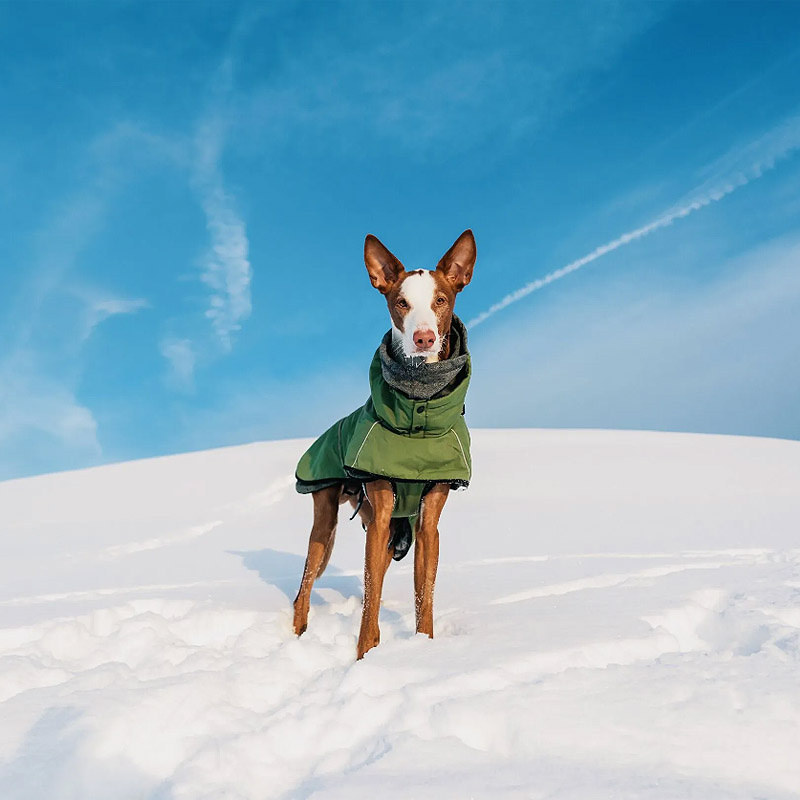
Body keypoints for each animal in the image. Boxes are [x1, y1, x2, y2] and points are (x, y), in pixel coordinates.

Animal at [296, 228, 478, 660]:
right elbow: (370, 601)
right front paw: (363, 658)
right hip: (324, 526)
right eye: (401, 302)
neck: (418, 409)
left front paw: (423, 651)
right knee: (304, 590)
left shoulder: (429, 525)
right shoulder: (379, 520)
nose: (424, 338)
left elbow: (423, 599)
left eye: (441, 300)